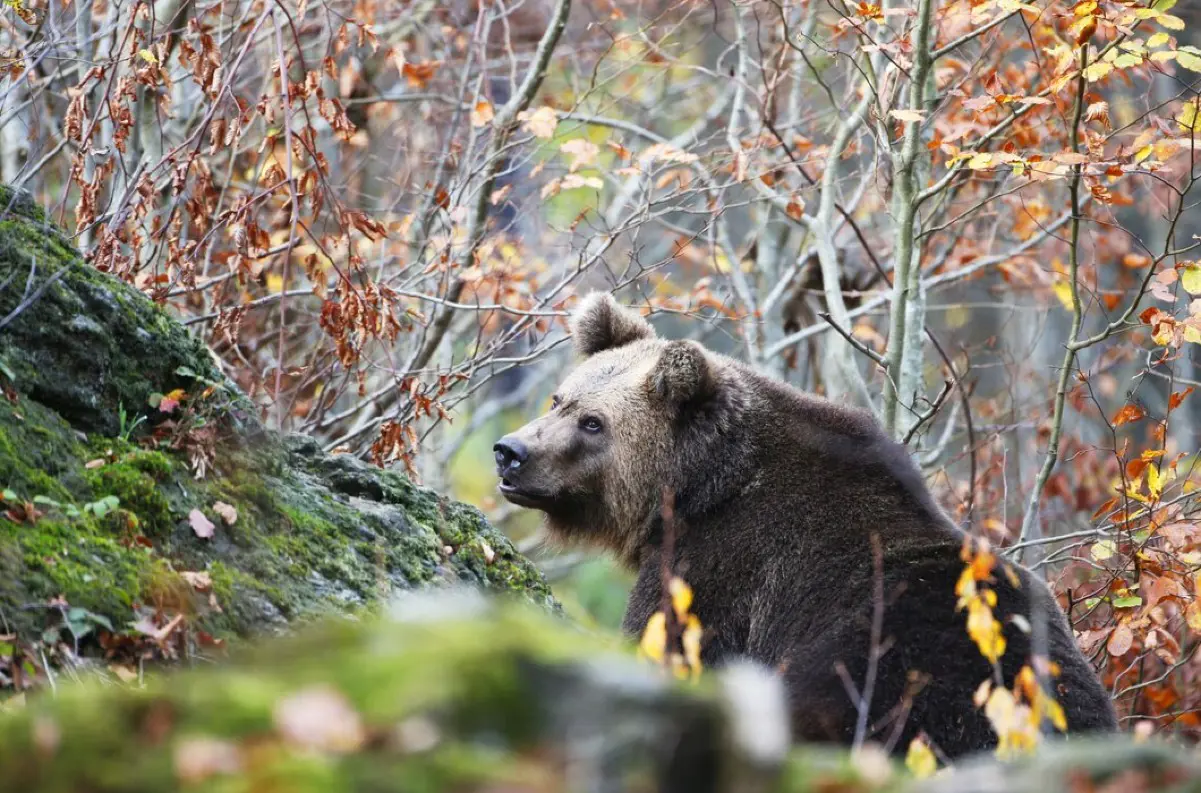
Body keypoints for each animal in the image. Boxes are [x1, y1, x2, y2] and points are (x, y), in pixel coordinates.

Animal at [492, 293, 1119, 764]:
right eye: (559, 397)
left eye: (593, 423)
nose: (510, 452)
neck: (697, 489)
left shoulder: (716, 574)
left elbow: (665, 644)